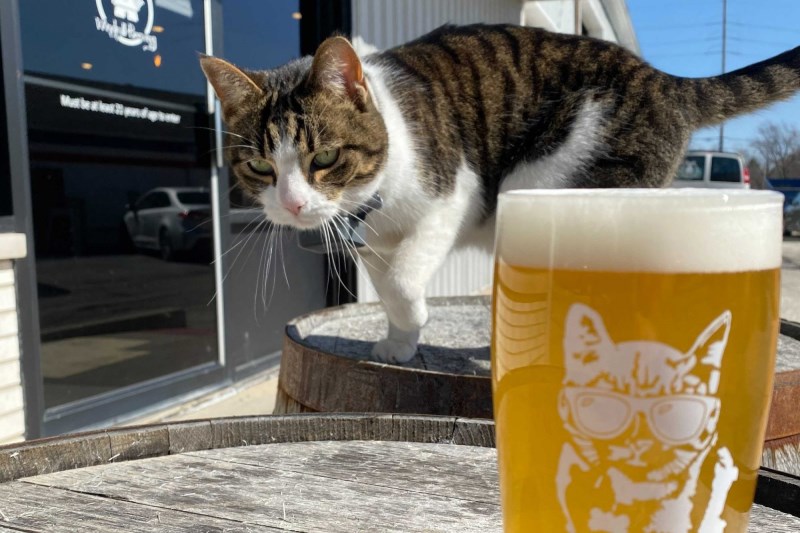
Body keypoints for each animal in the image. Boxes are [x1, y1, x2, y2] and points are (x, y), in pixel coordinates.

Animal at [200, 27, 800, 364]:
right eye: (260, 166)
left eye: (323, 158)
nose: (294, 205)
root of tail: (665, 80)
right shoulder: (367, 241)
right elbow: (385, 285)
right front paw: (400, 342)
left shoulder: (452, 194)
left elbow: (403, 279)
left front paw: (416, 314)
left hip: (551, 185)